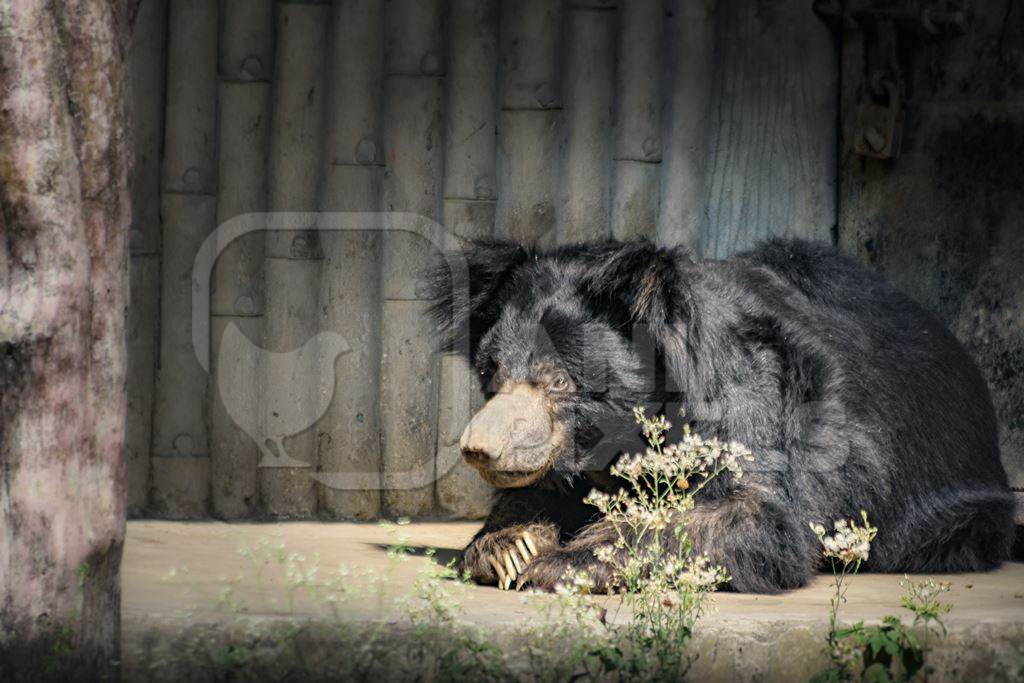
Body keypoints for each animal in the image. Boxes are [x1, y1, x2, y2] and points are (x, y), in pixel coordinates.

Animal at [423, 239, 1015, 593]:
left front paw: (562, 563)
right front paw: (507, 546)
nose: (479, 448)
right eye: (491, 371)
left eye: (560, 382)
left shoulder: (755, 401)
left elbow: (758, 518)